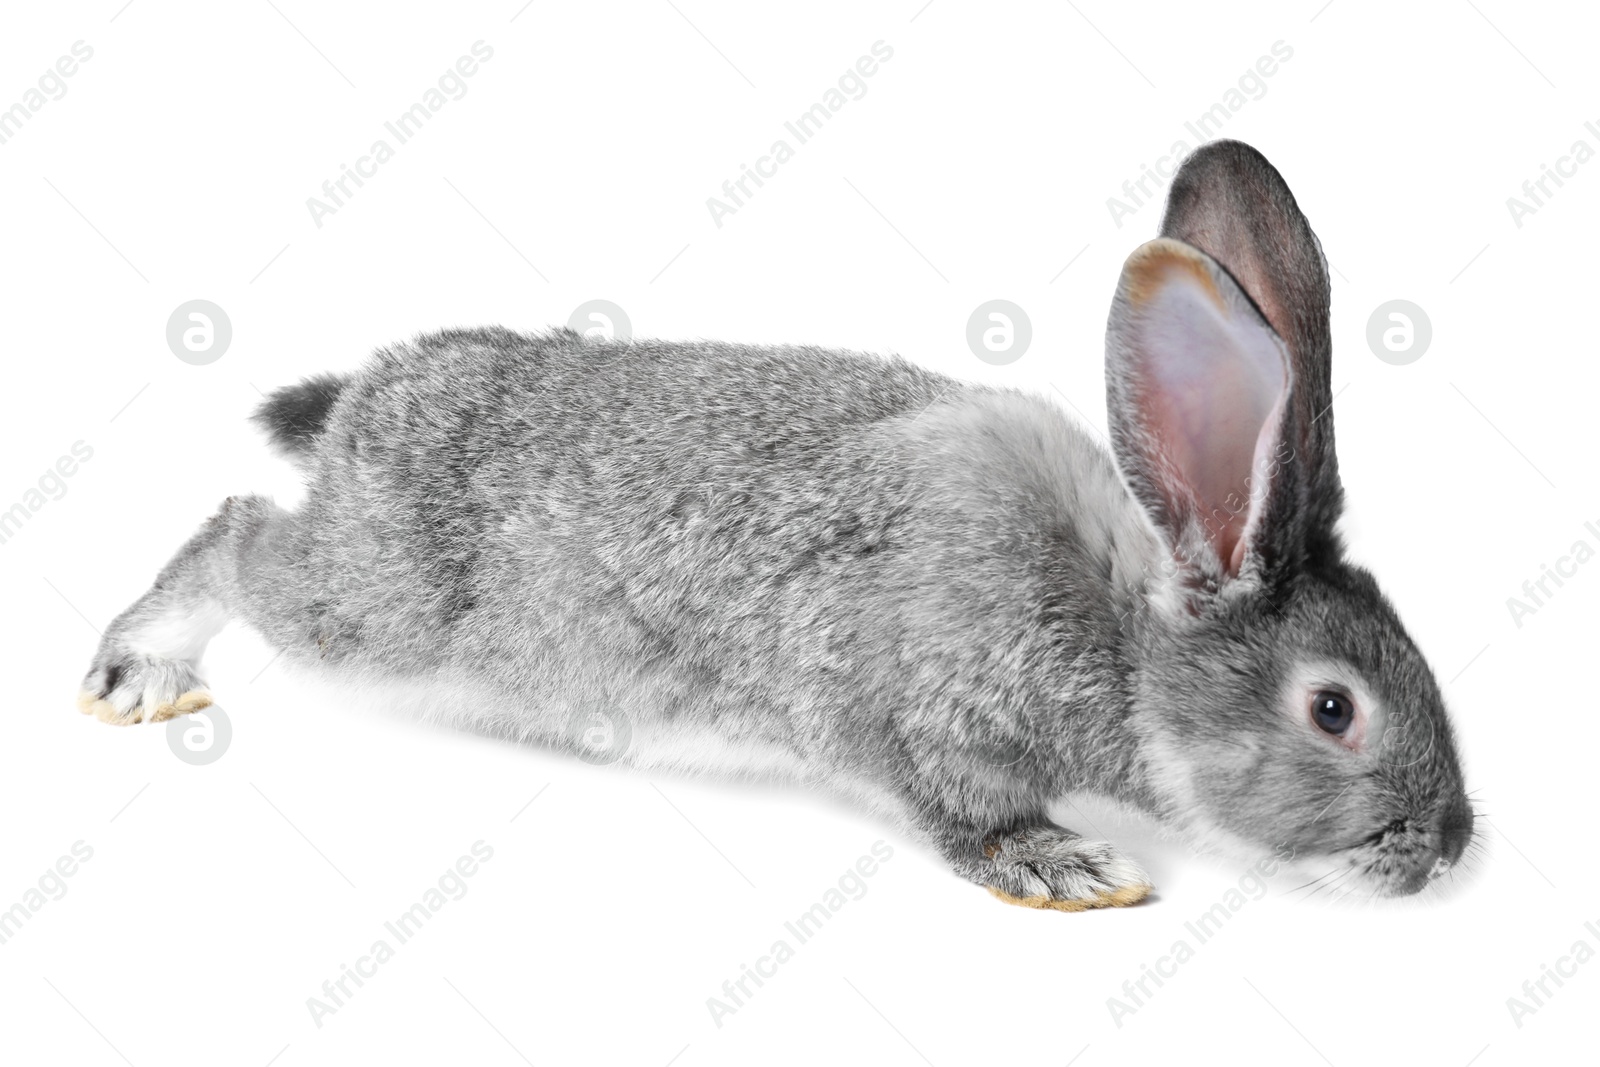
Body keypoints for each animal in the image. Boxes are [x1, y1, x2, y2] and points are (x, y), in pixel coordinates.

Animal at [75, 139, 1472, 908]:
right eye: (1334, 709)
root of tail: (369, 401)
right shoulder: (913, 717)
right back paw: (135, 673)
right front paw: (1064, 867)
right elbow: (958, 813)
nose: (1452, 847)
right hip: (374, 608)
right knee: (239, 532)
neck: (1122, 648)